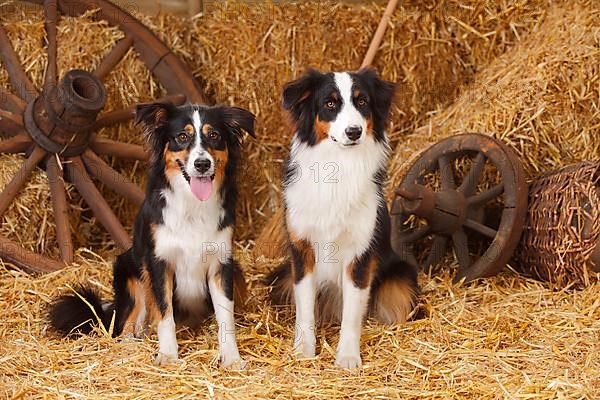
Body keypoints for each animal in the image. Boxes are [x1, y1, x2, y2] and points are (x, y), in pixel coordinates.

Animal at [47, 102, 253, 368]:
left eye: (214, 135)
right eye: (182, 137)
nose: (202, 164)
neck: (192, 205)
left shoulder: (222, 263)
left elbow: (225, 317)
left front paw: (232, 358)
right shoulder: (158, 262)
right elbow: (164, 313)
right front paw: (168, 355)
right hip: (130, 272)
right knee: (126, 324)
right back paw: (130, 345)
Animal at [270, 68, 420, 368]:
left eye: (362, 102)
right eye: (330, 103)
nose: (354, 131)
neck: (338, 164)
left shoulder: (359, 255)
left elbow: (352, 314)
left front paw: (348, 357)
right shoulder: (302, 250)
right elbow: (305, 309)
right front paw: (303, 350)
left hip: (401, 279)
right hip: (282, 277)